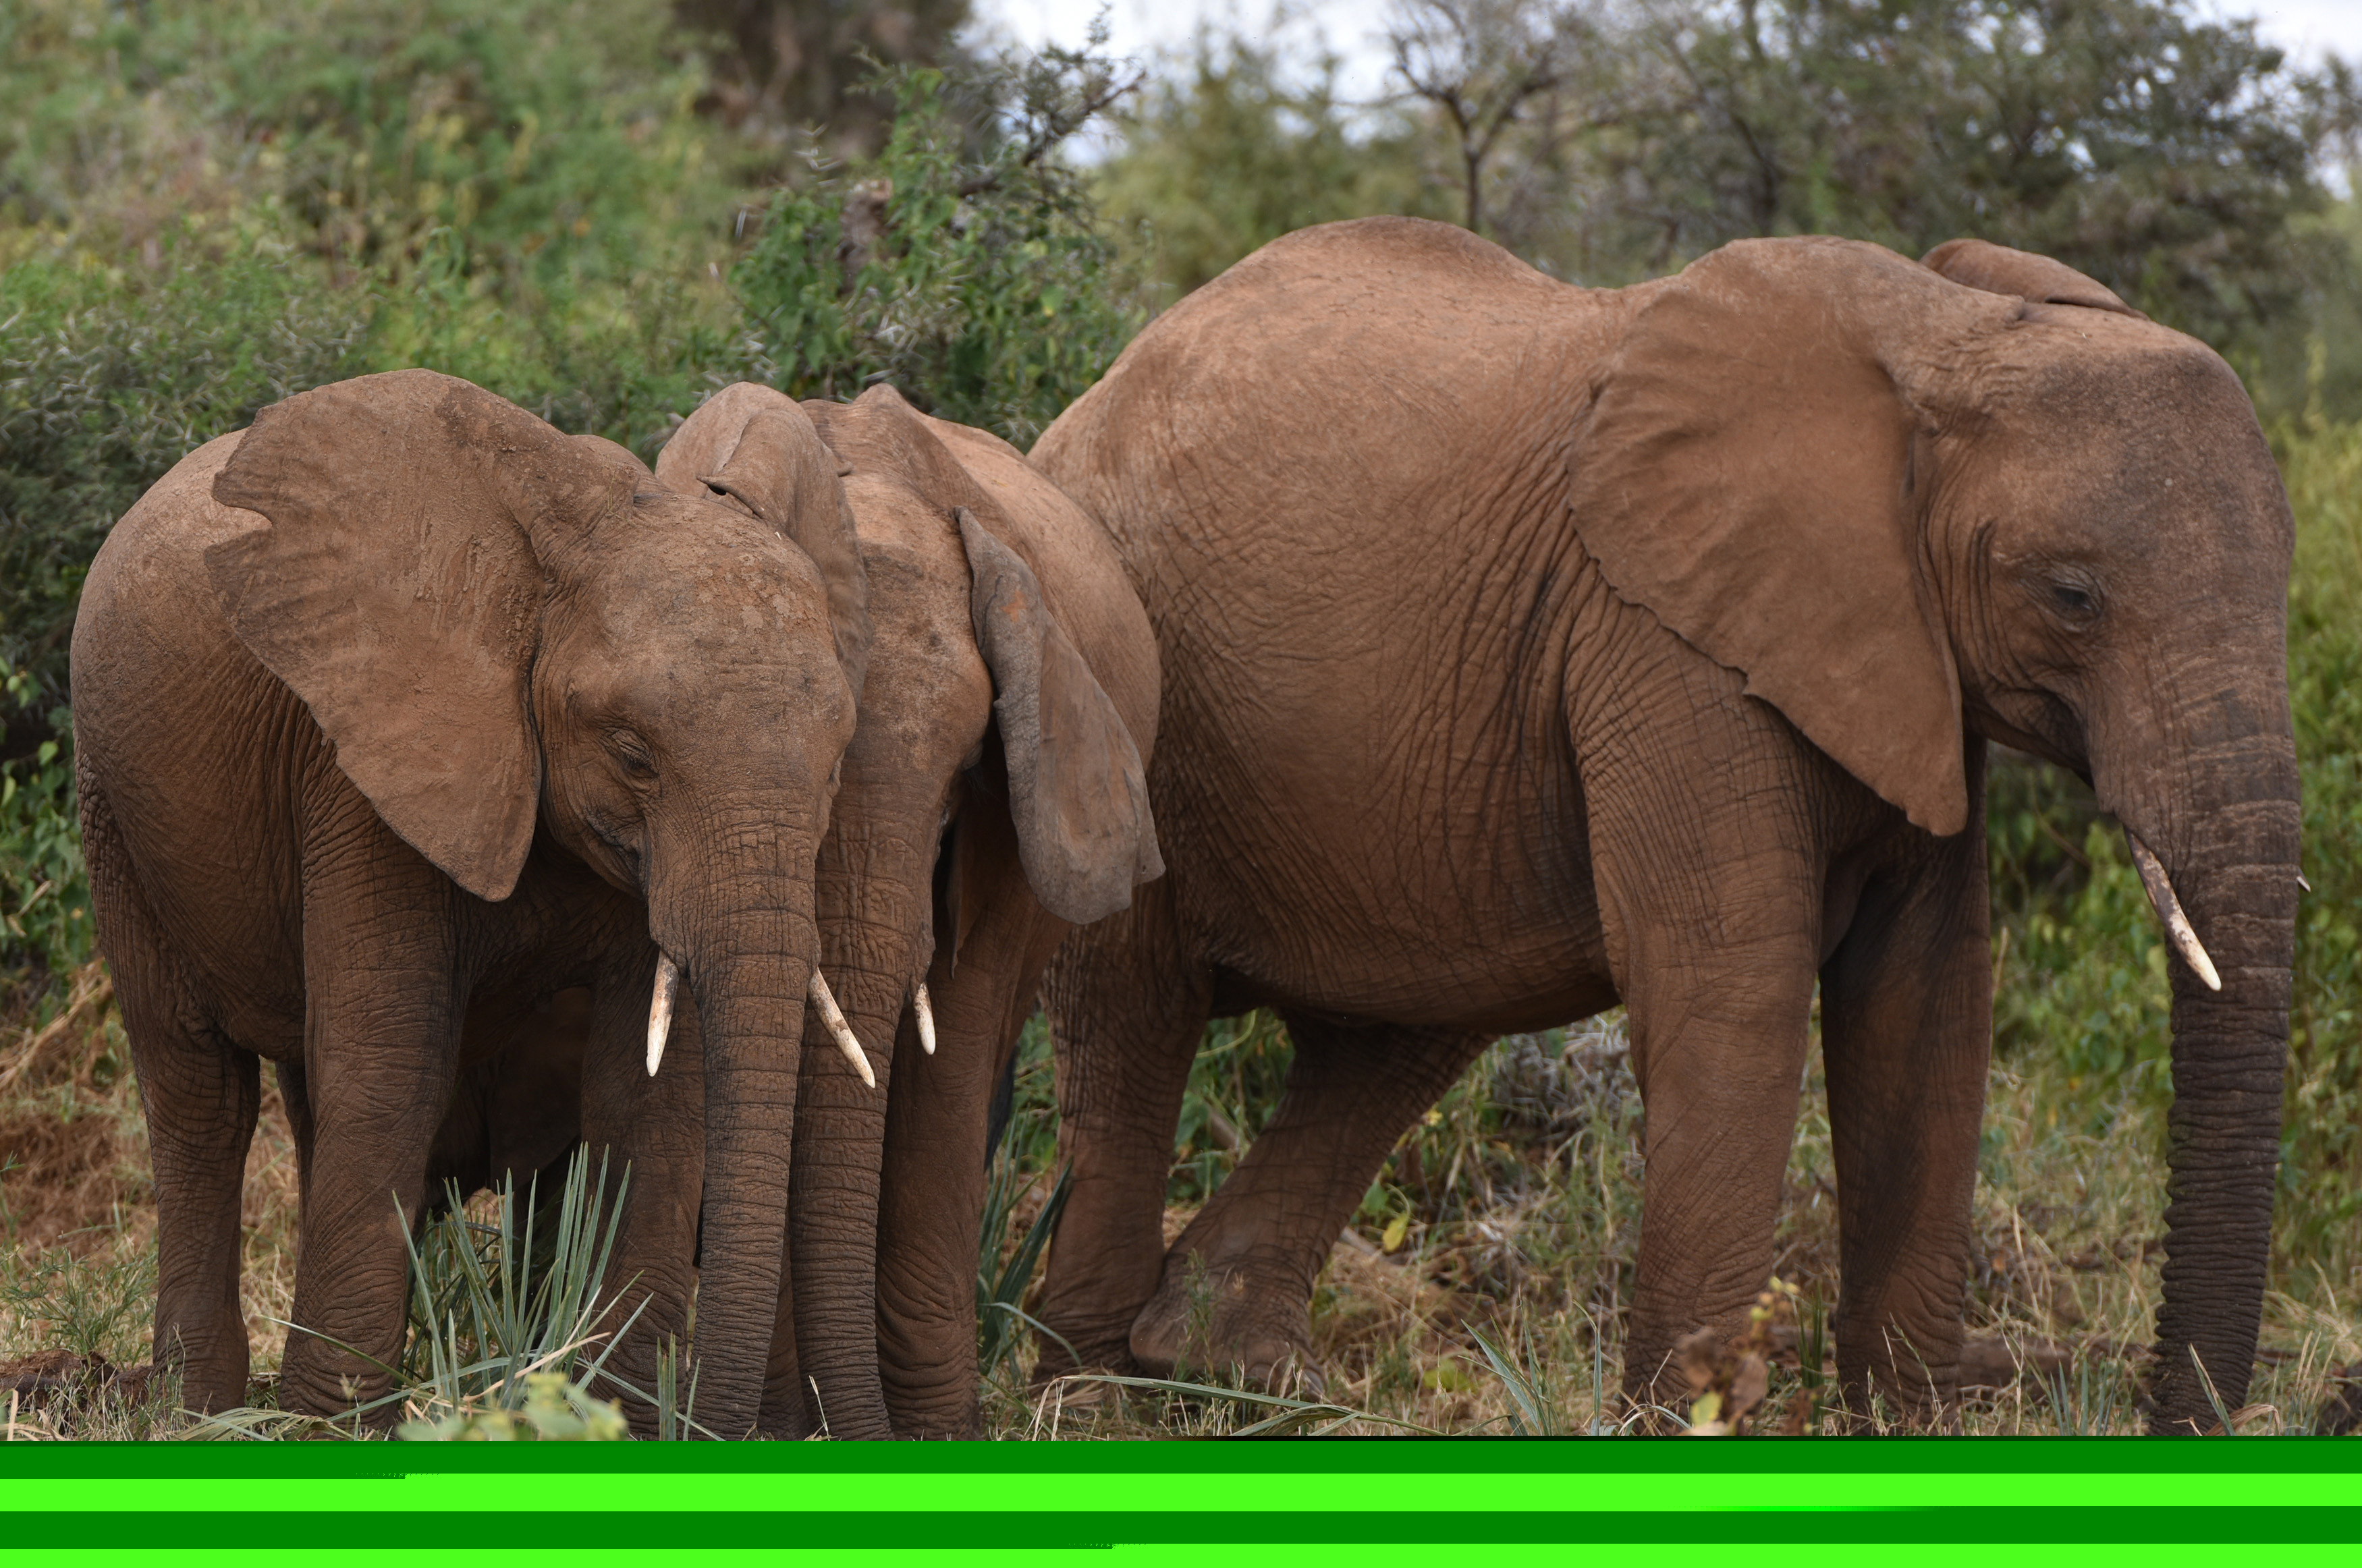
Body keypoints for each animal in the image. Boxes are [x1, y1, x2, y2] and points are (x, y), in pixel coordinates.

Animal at [70, 369, 871, 1433]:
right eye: (632, 754)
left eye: (837, 762)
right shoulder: (362, 765)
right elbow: (392, 1063)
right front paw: (331, 1428)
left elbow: (646, 1089)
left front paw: (609, 1410)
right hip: (114, 808)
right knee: (200, 1092)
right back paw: (195, 1411)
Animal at [1023, 217, 2301, 1434]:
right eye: (2072, 596)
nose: (2172, 1411)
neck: (1949, 333)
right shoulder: (1665, 638)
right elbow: (1734, 983)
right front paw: (1684, 1421)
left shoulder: (1906, 670)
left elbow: (1928, 999)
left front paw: (1915, 1414)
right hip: (1111, 694)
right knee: (1132, 1019)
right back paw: (1089, 1392)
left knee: (1396, 1035)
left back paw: (1236, 1370)